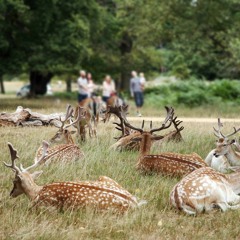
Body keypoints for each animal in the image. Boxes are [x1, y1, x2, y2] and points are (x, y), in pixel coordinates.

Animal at [4, 142, 146, 213]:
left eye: (14, 181)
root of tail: (135, 202)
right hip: (105, 177)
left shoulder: (45, 207)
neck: (36, 193)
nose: (11, 193)